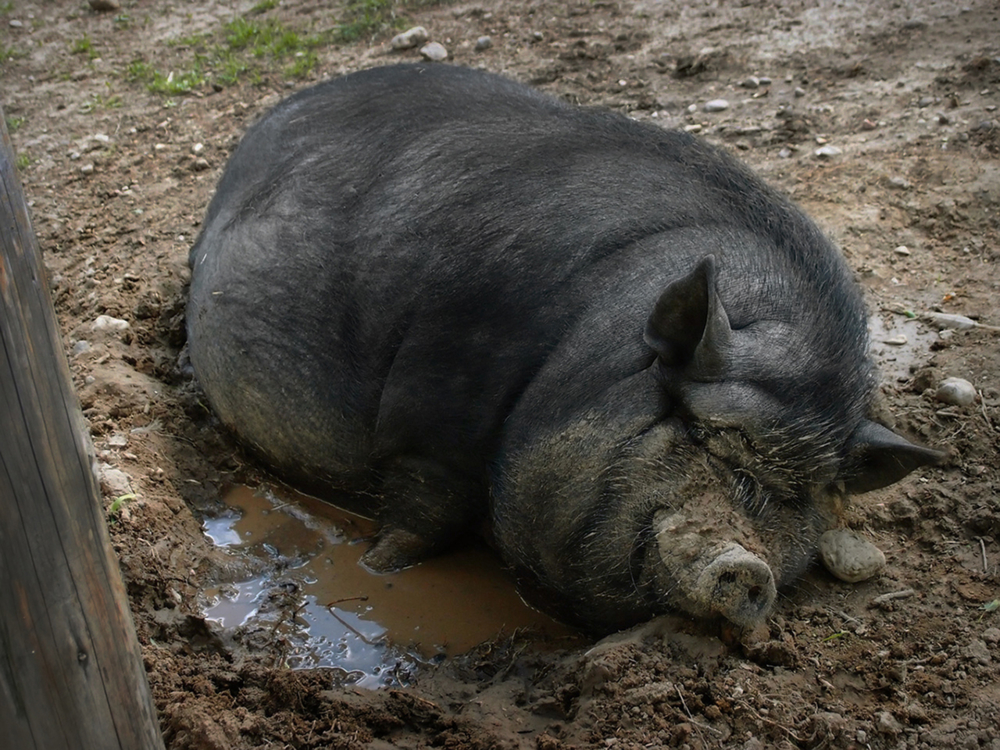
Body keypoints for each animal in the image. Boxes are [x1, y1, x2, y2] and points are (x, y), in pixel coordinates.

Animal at [186, 64, 936, 636]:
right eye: (698, 432)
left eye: (801, 496)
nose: (747, 565)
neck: (578, 347)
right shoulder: (435, 413)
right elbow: (423, 513)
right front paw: (376, 568)